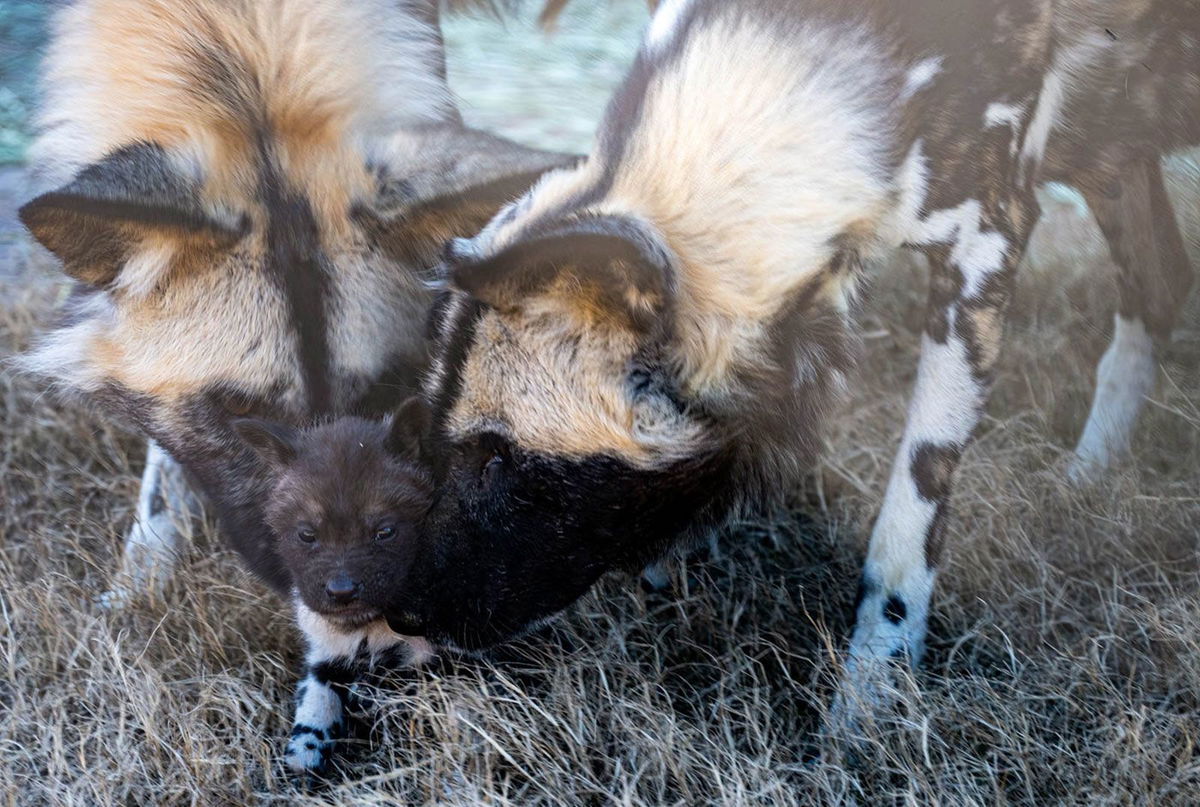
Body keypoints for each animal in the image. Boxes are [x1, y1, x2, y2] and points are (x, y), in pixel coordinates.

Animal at [17, 0, 571, 598]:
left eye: (380, 391)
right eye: (239, 410)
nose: (325, 587)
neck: (233, 28)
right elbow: (161, 469)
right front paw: (141, 575)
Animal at [386, 0, 1200, 730]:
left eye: (499, 460)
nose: (401, 614)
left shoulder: (983, 255)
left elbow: (904, 532)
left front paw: (866, 712)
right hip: (1114, 148)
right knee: (1160, 285)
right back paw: (1089, 475)